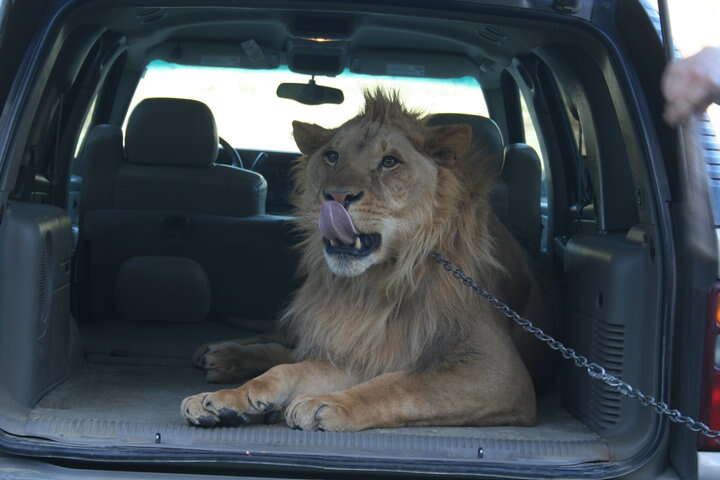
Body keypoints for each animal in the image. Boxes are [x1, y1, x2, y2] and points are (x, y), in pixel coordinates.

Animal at [182, 89, 555, 431]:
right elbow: (288, 370)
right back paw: (222, 354)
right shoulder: (362, 339)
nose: (335, 196)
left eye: (390, 161)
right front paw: (226, 400)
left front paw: (327, 404)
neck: (376, 283)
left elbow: (402, 384)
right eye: (332, 156)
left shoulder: (497, 371)